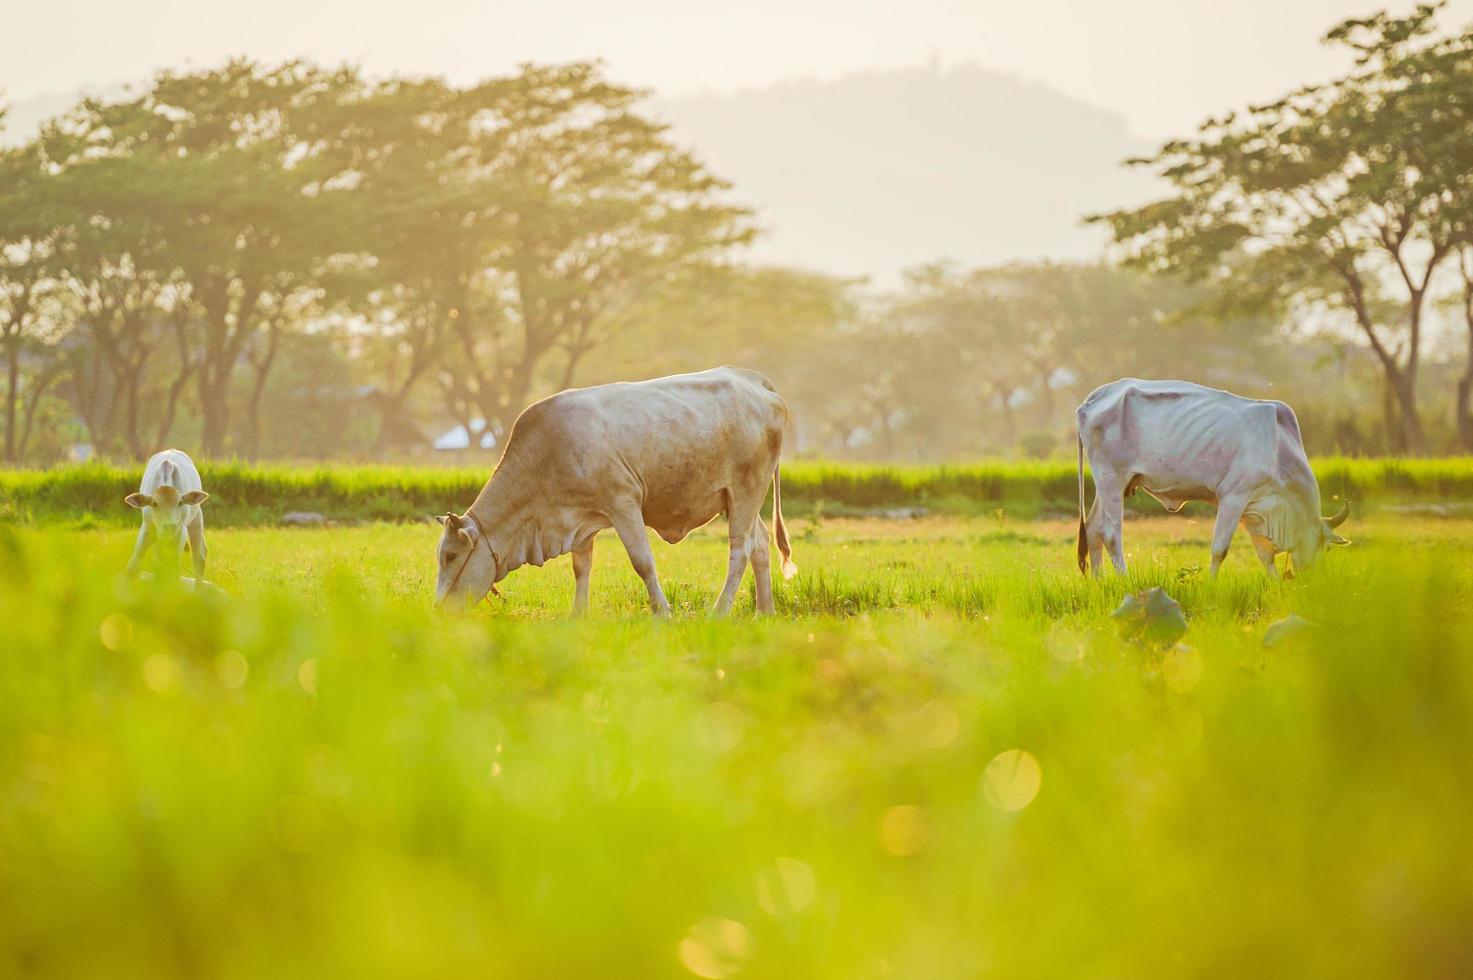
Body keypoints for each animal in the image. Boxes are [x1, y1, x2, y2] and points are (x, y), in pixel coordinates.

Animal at [125, 448, 210, 580]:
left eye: (180, 502)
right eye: (154, 504)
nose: (170, 526)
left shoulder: (180, 533)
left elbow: (174, 568)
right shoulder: (148, 528)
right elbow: (134, 565)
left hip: (196, 518)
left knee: (199, 556)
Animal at [430, 362, 795, 616]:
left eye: (450, 556)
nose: (439, 610)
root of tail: (751, 378)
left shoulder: (623, 502)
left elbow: (642, 561)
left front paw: (663, 613)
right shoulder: (579, 520)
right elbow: (581, 568)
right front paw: (577, 615)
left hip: (747, 490)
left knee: (741, 550)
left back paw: (719, 612)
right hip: (737, 499)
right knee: (760, 545)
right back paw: (764, 612)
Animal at [1078, 377, 1349, 577]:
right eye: (1326, 548)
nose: (1309, 577)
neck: (1279, 450)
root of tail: (1097, 396)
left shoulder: (1255, 507)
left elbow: (1265, 555)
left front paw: (1276, 585)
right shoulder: (1234, 497)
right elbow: (1220, 549)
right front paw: (1211, 583)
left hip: (1111, 484)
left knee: (1093, 529)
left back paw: (1100, 583)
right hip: (1111, 478)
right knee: (1111, 534)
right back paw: (1125, 580)